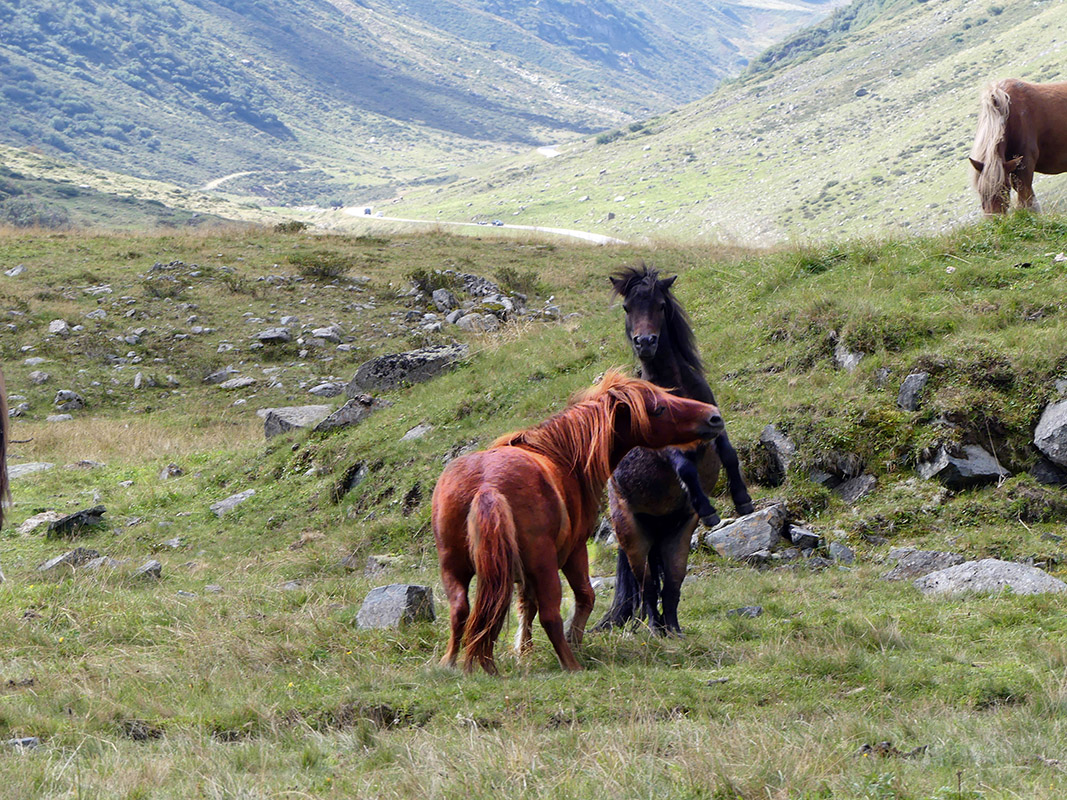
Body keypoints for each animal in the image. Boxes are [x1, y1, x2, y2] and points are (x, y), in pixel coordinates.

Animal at [433, 373, 725, 674]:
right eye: (659, 409)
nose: (714, 417)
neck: (562, 456)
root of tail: (487, 486)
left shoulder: (522, 574)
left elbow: (525, 607)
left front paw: (524, 652)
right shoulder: (574, 552)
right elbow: (585, 597)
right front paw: (574, 641)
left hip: (454, 567)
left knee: (461, 611)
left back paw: (452, 663)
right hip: (544, 566)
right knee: (550, 615)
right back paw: (570, 663)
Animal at [597, 269, 755, 640]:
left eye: (660, 304)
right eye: (626, 307)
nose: (645, 343)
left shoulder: (716, 425)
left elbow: (730, 455)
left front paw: (743, 501)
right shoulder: (666, 446)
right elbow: (685, 468)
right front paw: (709, 510)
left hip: (676, 534)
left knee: (671, 582)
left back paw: (674, 630)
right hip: (633, 535)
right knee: (646, 587)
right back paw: (657, 630)